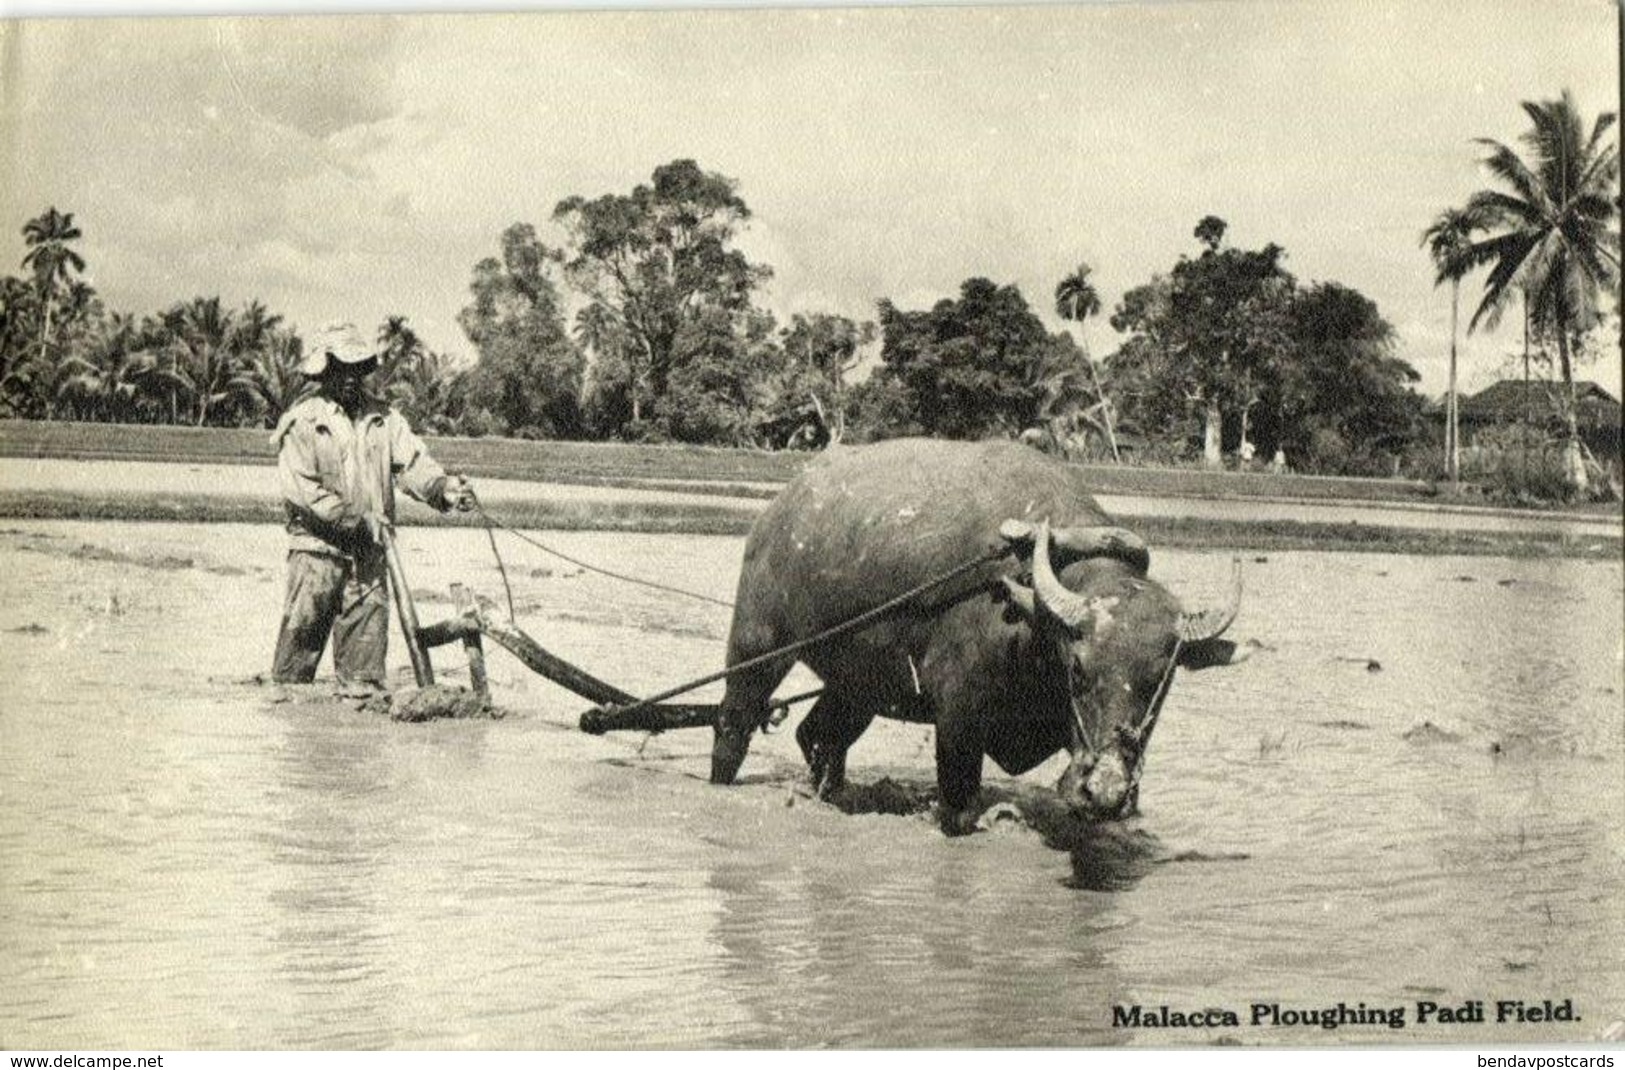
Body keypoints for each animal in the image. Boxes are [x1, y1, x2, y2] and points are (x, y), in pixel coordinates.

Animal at [708, 435, 1241, 832]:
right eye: (1077, 666)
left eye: (1161, 679)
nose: (1106, 787)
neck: (1027, 617)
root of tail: (778, 511)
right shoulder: (958, 718)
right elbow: (960, 805)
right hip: (759, 645)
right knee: (734, 723)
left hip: (860, 682)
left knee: (820, 735)